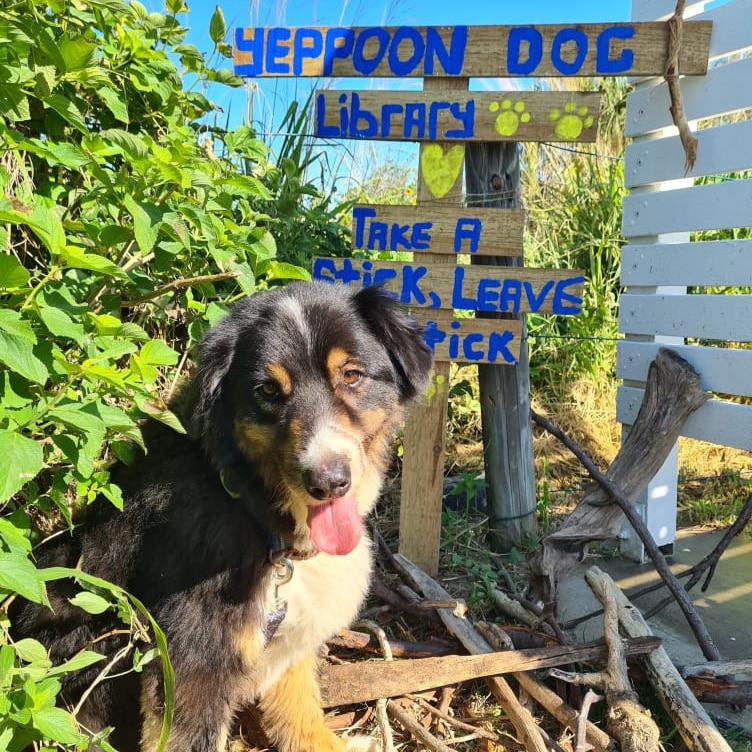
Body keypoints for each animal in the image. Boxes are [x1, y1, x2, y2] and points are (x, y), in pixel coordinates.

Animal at [11, 282, 432, 752]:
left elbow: (299, 702)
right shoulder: (194, 658)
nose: (328, 481)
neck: (253, 508)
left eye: (353, 375)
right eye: (268, 390)